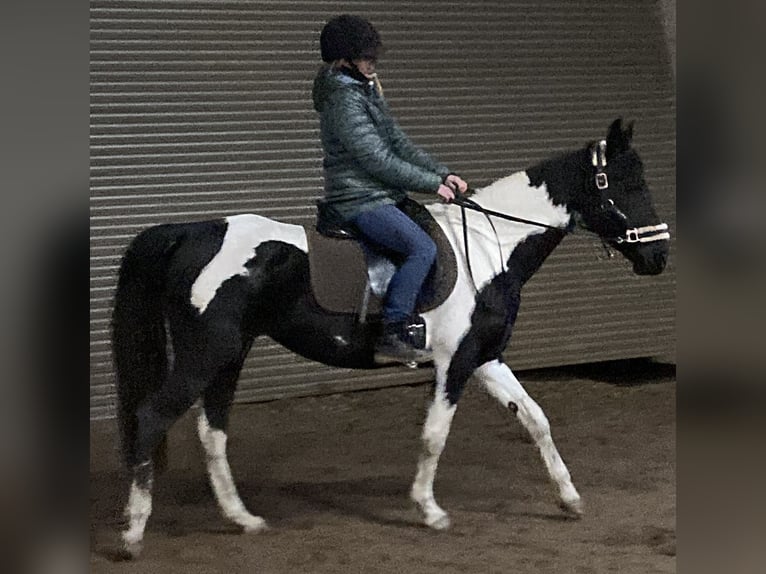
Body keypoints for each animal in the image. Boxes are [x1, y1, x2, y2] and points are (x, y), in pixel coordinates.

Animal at [111, 118, 668, 560]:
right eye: (627, 183)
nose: (658, 257)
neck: (492, 248)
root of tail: (194, 231)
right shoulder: (454, 362)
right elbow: (434, 435)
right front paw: (429, 510)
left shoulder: (485, 358)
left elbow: (536, 419)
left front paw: (569, 499)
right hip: (207, 354)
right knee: (154, 417)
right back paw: (133, 534)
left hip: (229, 356)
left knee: (212, 431)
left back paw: (242, 518)